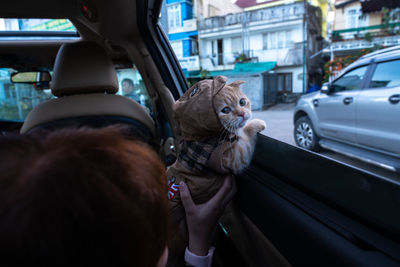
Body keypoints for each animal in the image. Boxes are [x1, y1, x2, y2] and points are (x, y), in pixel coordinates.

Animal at [166, 76, 266, 267]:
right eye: (225, 110)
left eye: (242, 102)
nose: (242, 113)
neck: (204, 137)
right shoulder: (231, 157)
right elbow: (245, 136)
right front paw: (256, 124)